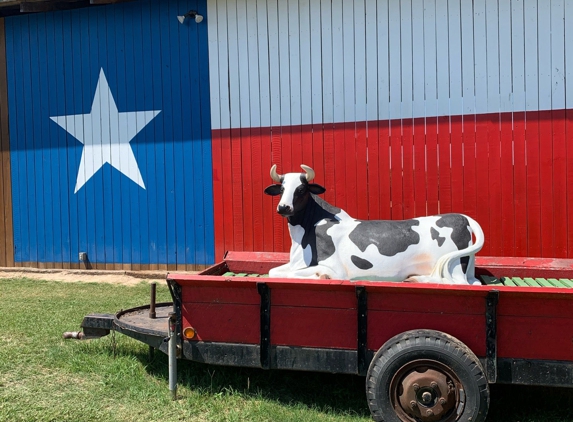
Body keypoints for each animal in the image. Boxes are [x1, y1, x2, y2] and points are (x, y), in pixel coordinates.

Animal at [264, 164, 482, 284]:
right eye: (282, 189)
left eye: (301, 189)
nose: (283, 207)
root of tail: (461, 217)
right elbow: (273, 271)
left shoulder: (334, 268)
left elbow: (290, 273)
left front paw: (320, 277)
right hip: (466, 270)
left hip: (454, 268)